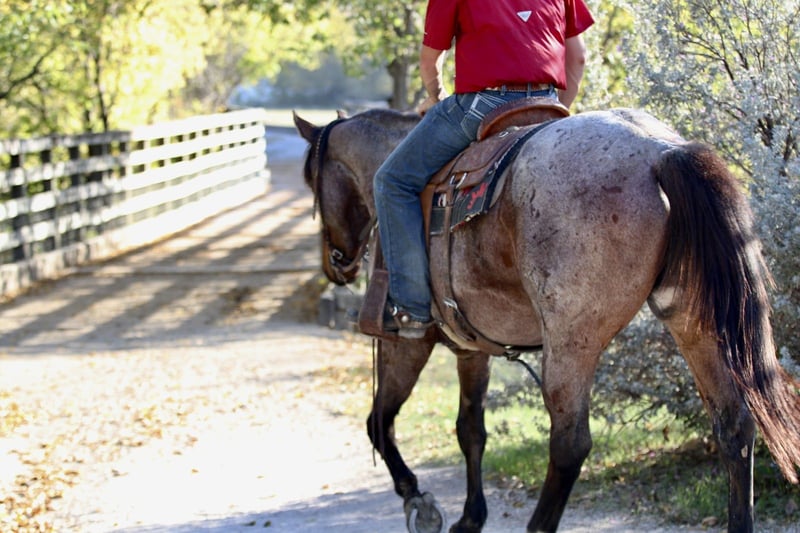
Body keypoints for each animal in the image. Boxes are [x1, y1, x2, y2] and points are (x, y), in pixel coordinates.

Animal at [292, 107, 800, 533]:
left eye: (312, 181)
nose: (336, 265)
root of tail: (661, 151)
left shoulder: (406, 342)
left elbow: (379, 422)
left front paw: (419, 501)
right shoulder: (472, 350)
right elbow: (470, 430)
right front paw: (470, 518)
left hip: (571, 343)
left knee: (570, 444)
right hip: (696, 325)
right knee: (735, 424)